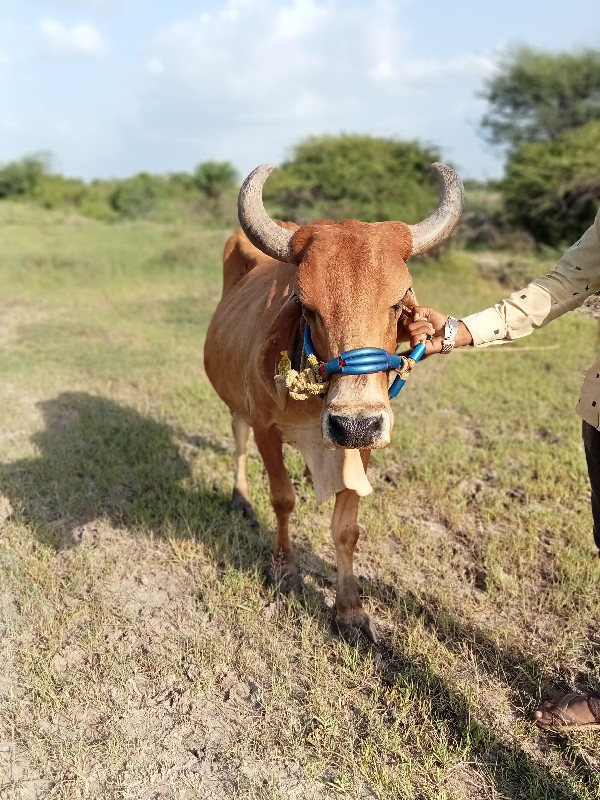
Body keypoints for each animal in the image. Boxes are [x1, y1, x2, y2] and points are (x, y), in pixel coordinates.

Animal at [204, 164, 462, 644]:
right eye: (306, 306)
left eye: (399, 302)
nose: (354, 424)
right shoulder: (268, 428)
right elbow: (282, 500)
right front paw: (284, 569)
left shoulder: (366, 446)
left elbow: (346, 529)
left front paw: (350, 611)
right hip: (238, 405)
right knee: (238, 438)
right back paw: (240, 498)